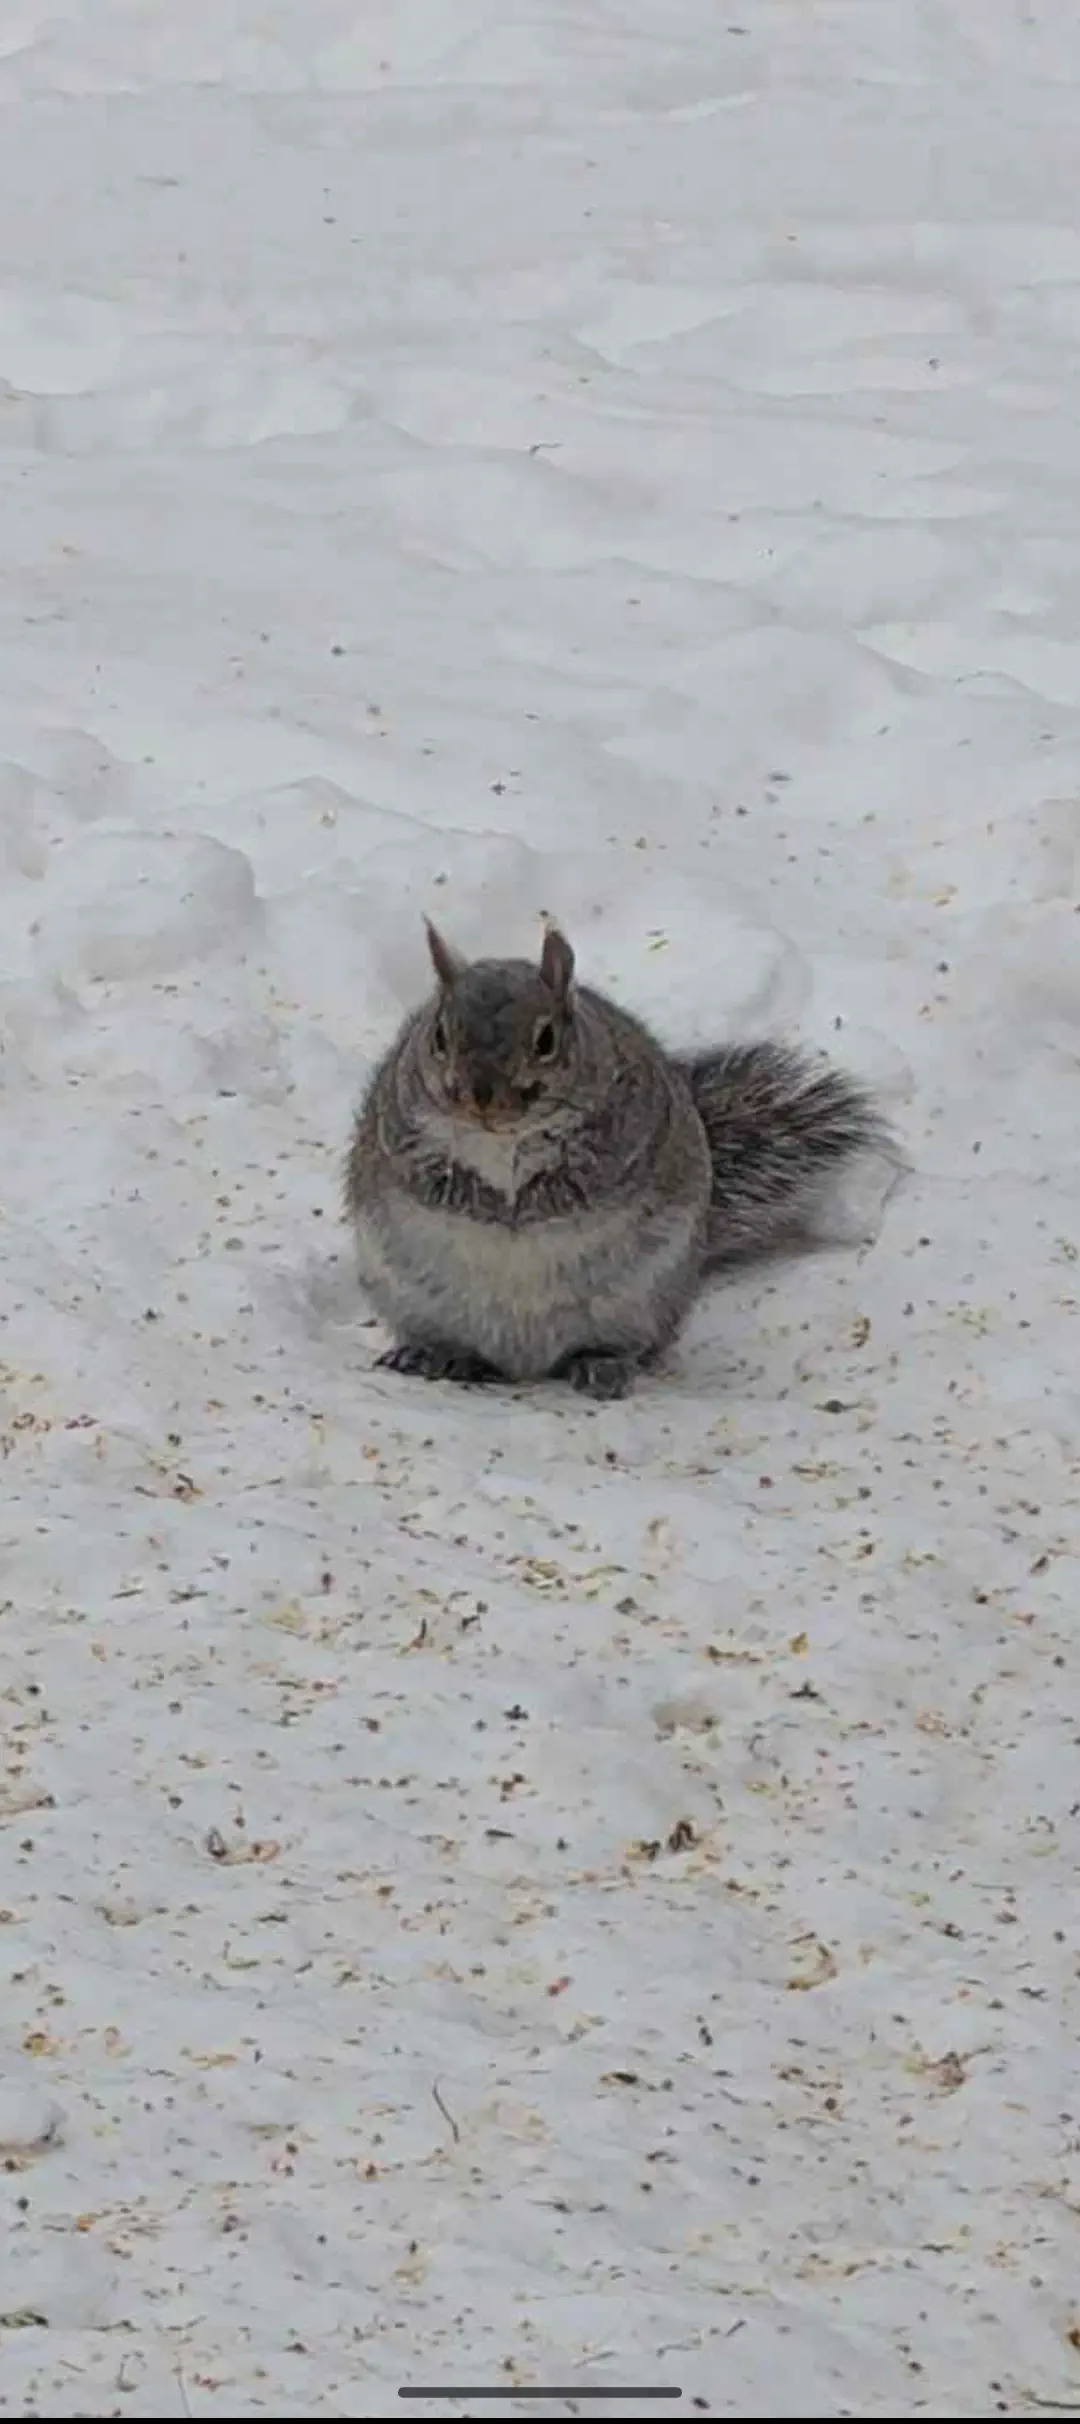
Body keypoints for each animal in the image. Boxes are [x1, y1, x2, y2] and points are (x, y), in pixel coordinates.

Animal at [344, 918, 894, 1401]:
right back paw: (436, 1356)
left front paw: (524, 1204)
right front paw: (476, 1197)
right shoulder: (398, 1134)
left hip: (641, 1301)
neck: (503, 1141)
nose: (479, 1098)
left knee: (621, 1347)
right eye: (439, 1035)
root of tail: (525, 1365)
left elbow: (574, 1183)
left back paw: (600, 1365)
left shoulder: (619, 1135)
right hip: (412, 1299)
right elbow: (427, 1176)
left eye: (546, 1040)